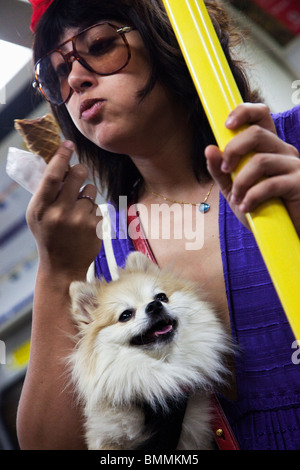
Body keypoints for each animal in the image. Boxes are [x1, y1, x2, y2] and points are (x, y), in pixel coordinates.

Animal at [69, 252, 230, 450]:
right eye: (125, 315)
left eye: (161, 297)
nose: (154, 305)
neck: (159, 368)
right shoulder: (107, 437)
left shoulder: (193, 434)